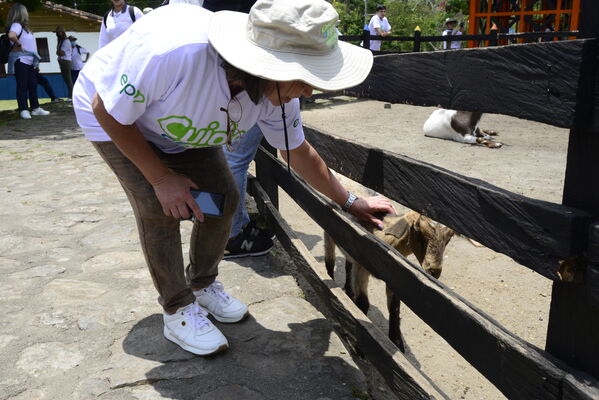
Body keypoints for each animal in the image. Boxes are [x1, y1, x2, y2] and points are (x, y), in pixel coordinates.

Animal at [326, 211, 452, 352]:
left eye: (449, 237)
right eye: (418, 231)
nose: (434, 270)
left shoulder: (393, 274)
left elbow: (394, 309)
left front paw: (397, 343)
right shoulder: (361, 267)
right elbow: (363, 303)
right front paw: (360, 343)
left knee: (348, 266)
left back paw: (348, 292)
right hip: (329, 235)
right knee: (330, 261)